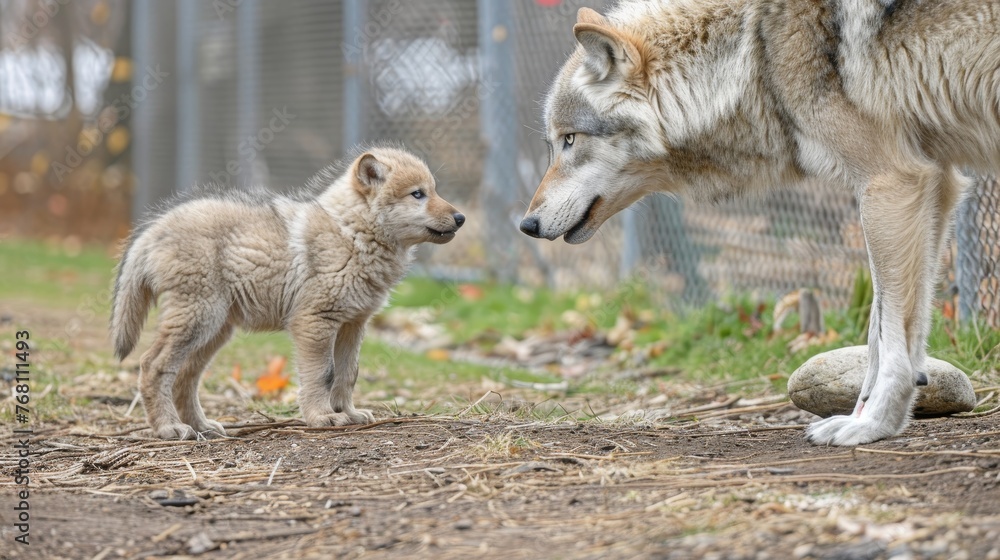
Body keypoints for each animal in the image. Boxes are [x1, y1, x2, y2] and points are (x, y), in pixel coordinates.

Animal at [111, 145, 465, 439]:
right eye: (417, 194)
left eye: (433, 191)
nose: (461, 218)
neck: (352, 234)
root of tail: (153, 230)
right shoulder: (315, 323)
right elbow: (323, 375)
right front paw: (322, 417)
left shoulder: (353, 325)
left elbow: (347, 375)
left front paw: (347, 414)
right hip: (197, 320)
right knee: (152, 366)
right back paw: (169, 428)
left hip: (213, 331)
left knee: (185, 377)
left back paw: (201, 426)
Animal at [520, 1, 1000, 445]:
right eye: (554, 143)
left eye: (570, 140)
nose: (527, 225)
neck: (754, 53)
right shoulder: (936, 183)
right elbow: (888, 334)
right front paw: (874, 418)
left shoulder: (892, 181)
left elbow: (890, 338)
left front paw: (871, 425)